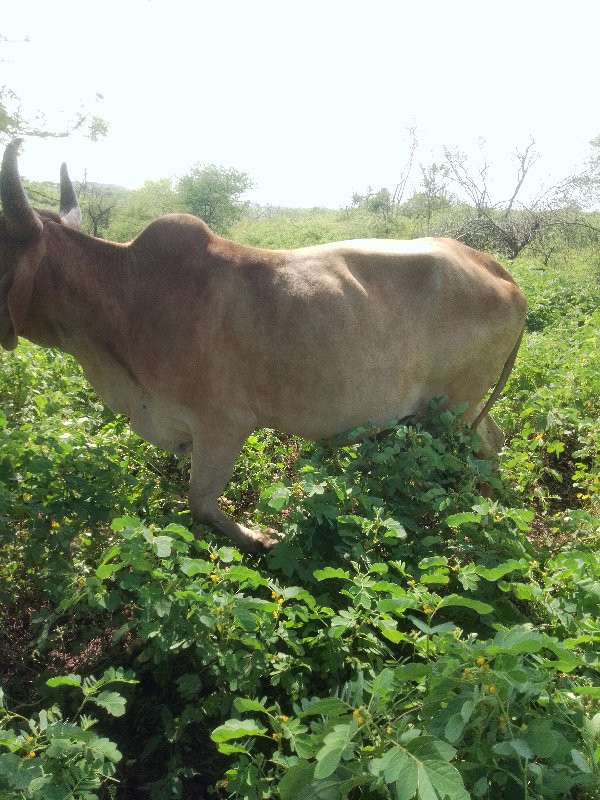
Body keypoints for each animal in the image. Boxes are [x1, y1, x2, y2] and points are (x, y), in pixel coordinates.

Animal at [0, 141, 524, 552]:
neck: (122, 298)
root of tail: (494, 268)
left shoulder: (223, 424)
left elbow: (201, 504)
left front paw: (259, 538)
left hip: (453, 409)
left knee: (480, 449)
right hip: (458, 410)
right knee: (493, 441)